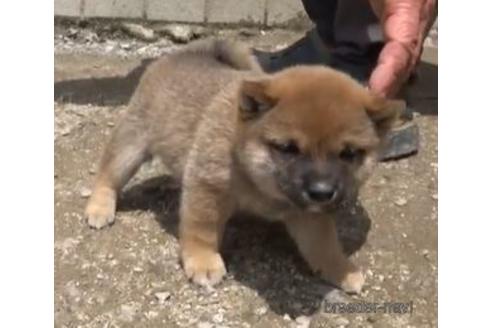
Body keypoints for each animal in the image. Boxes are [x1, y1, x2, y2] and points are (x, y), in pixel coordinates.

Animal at [84, 39, 400, 294]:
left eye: (348, 153)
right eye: (288, 148)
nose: (322, 192)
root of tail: (189, 53)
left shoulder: (310, 213)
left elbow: (324, 244)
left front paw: (341, 269)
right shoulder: (207, 189)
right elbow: (202, 229)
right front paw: (203, 261)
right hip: (131, 144)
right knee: (107, 176)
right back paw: (99, 207)